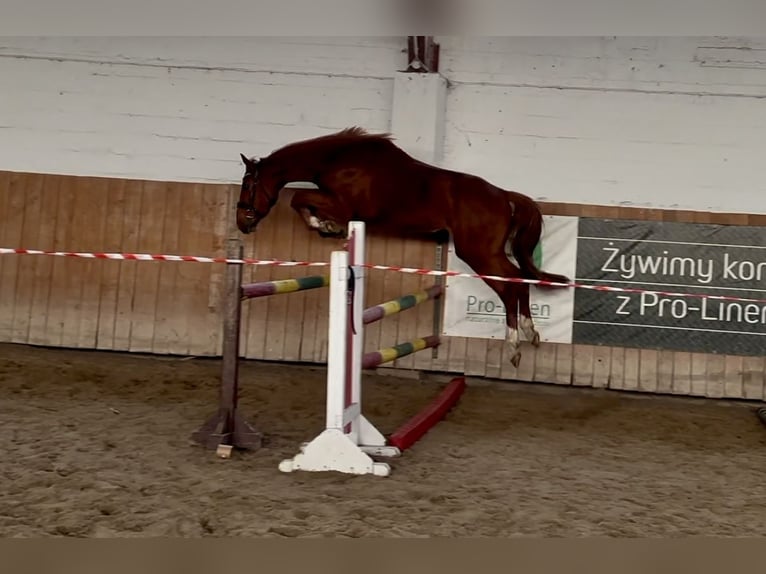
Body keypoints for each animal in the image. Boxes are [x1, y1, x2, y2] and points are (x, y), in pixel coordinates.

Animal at [238, 127, 568, 366]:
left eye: (247, 185)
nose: (242, 222)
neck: (337, 160)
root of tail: (504, 195)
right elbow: (302, 200)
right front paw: (326, 227)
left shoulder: (344, 206)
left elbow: (299, 199)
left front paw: (325, 226)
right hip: (486, 253)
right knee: (519, 280)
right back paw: (530, 331)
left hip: (478, 253)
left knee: (510, 285)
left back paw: (514, 345)